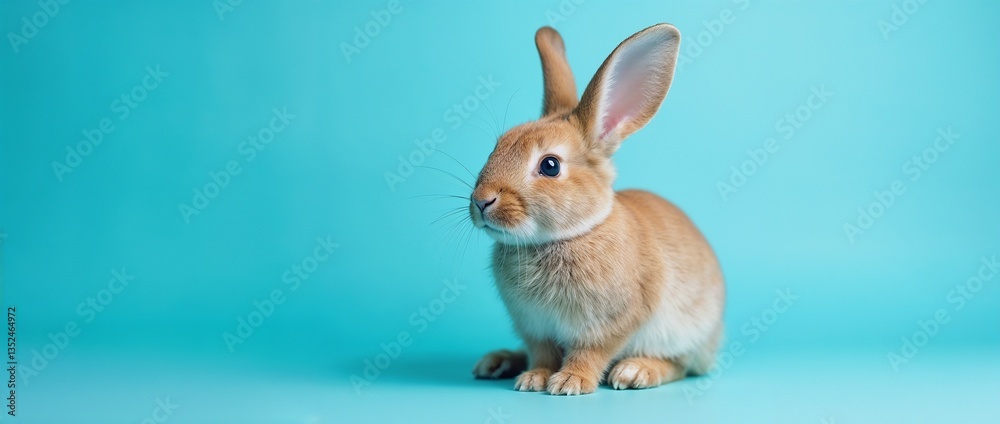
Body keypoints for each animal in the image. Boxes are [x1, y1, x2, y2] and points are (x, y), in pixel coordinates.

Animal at [468, 24, 725, 395]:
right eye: (498, 145)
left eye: (550, 166)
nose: (481, 201)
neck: (567, 236)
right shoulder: (536, 328)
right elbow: (541, 354)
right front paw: (533, 379)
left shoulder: (612, 323)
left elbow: (590, 351)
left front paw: (569, 382)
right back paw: (497, 361)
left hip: (686, 334)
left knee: (680, 365)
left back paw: (636, 371)